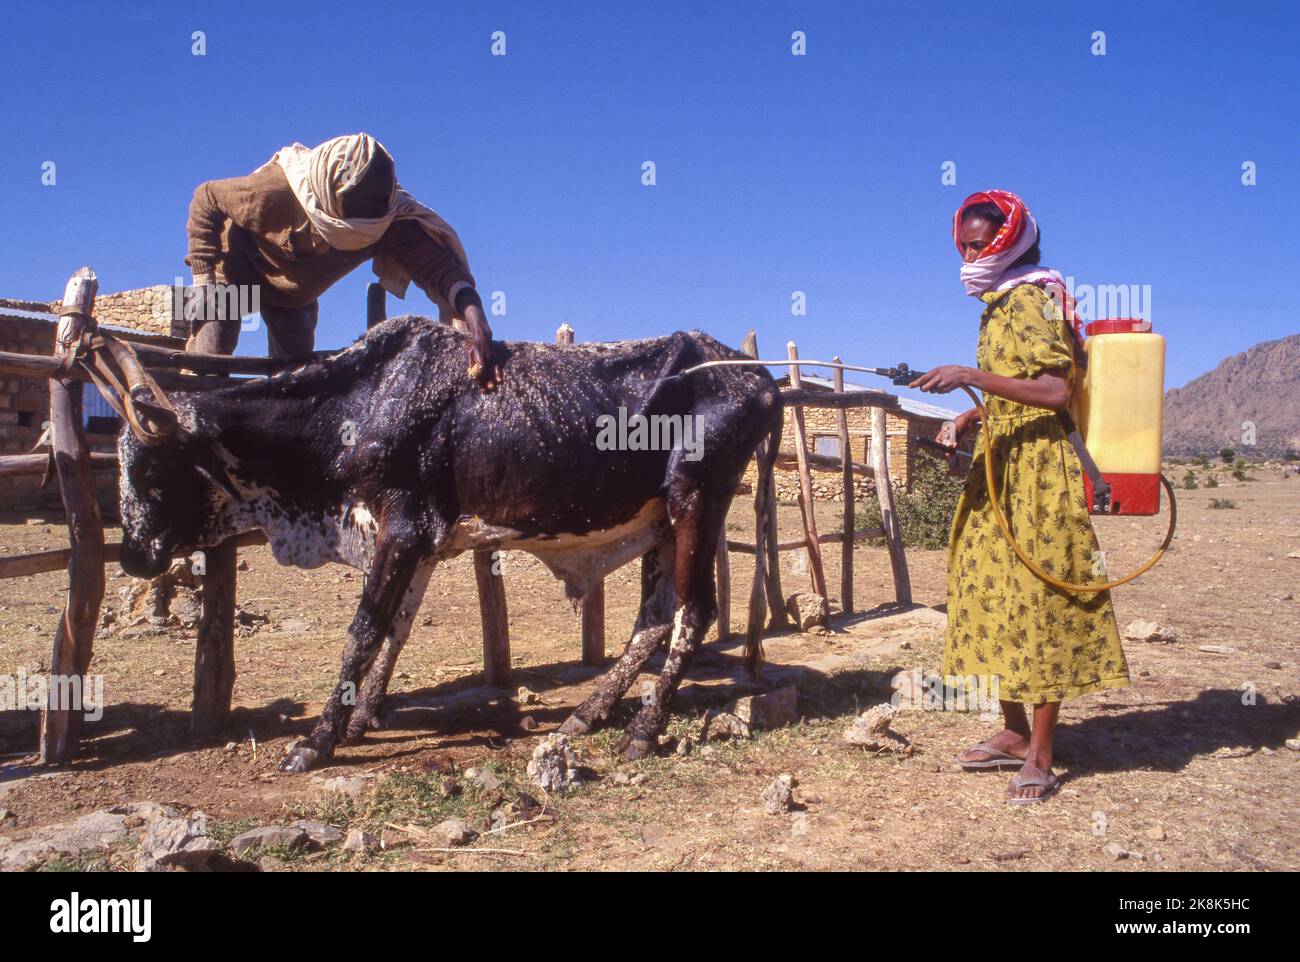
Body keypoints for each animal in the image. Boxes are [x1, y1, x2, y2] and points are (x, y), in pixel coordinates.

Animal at [117, 316, 782, 771]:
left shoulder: (401, 531)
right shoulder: (420, 544)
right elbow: (396, 628)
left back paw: (644, 728)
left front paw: (317, 739)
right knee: (654, 618)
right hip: (664, 522)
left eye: (150, 471)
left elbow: (363, 631)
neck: (362, 401)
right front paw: (362, 718)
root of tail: (755, 373)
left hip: (696, 501)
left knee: (694, 612)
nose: (131, 555)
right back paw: (586, 714)